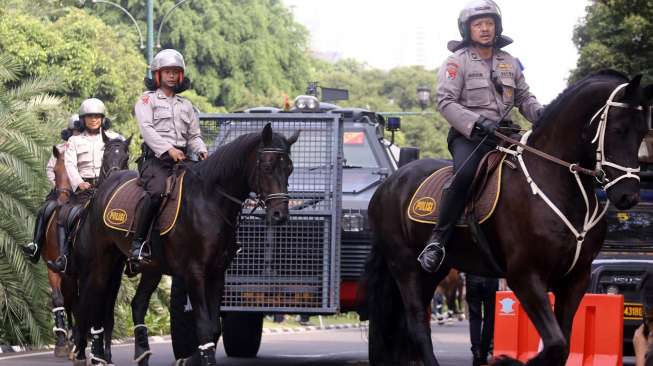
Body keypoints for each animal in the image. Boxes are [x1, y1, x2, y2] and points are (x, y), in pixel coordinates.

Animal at [70, 123, 296, 366]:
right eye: (267, 167)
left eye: (289, 169)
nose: (280, 215)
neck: (209, 201)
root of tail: (102, 188)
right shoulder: (194, 272)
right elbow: (204, 326)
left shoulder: (217, 273)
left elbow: (214, 327)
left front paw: (188, 360)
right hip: (102, 261)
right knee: (95, 300)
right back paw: (94, 355)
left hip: (151, 267)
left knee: (137, 304)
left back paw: (141, 352)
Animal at [360, 69, 652, 366]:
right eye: (618, 130)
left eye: (643, 132)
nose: (628, 196)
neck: (558, 182)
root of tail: (390, 182)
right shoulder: (525, 276)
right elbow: (555, 344)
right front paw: (508, 360)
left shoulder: (575, 280)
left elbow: (563, 345)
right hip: (405, 266)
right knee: (416, 322)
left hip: (435, 272)